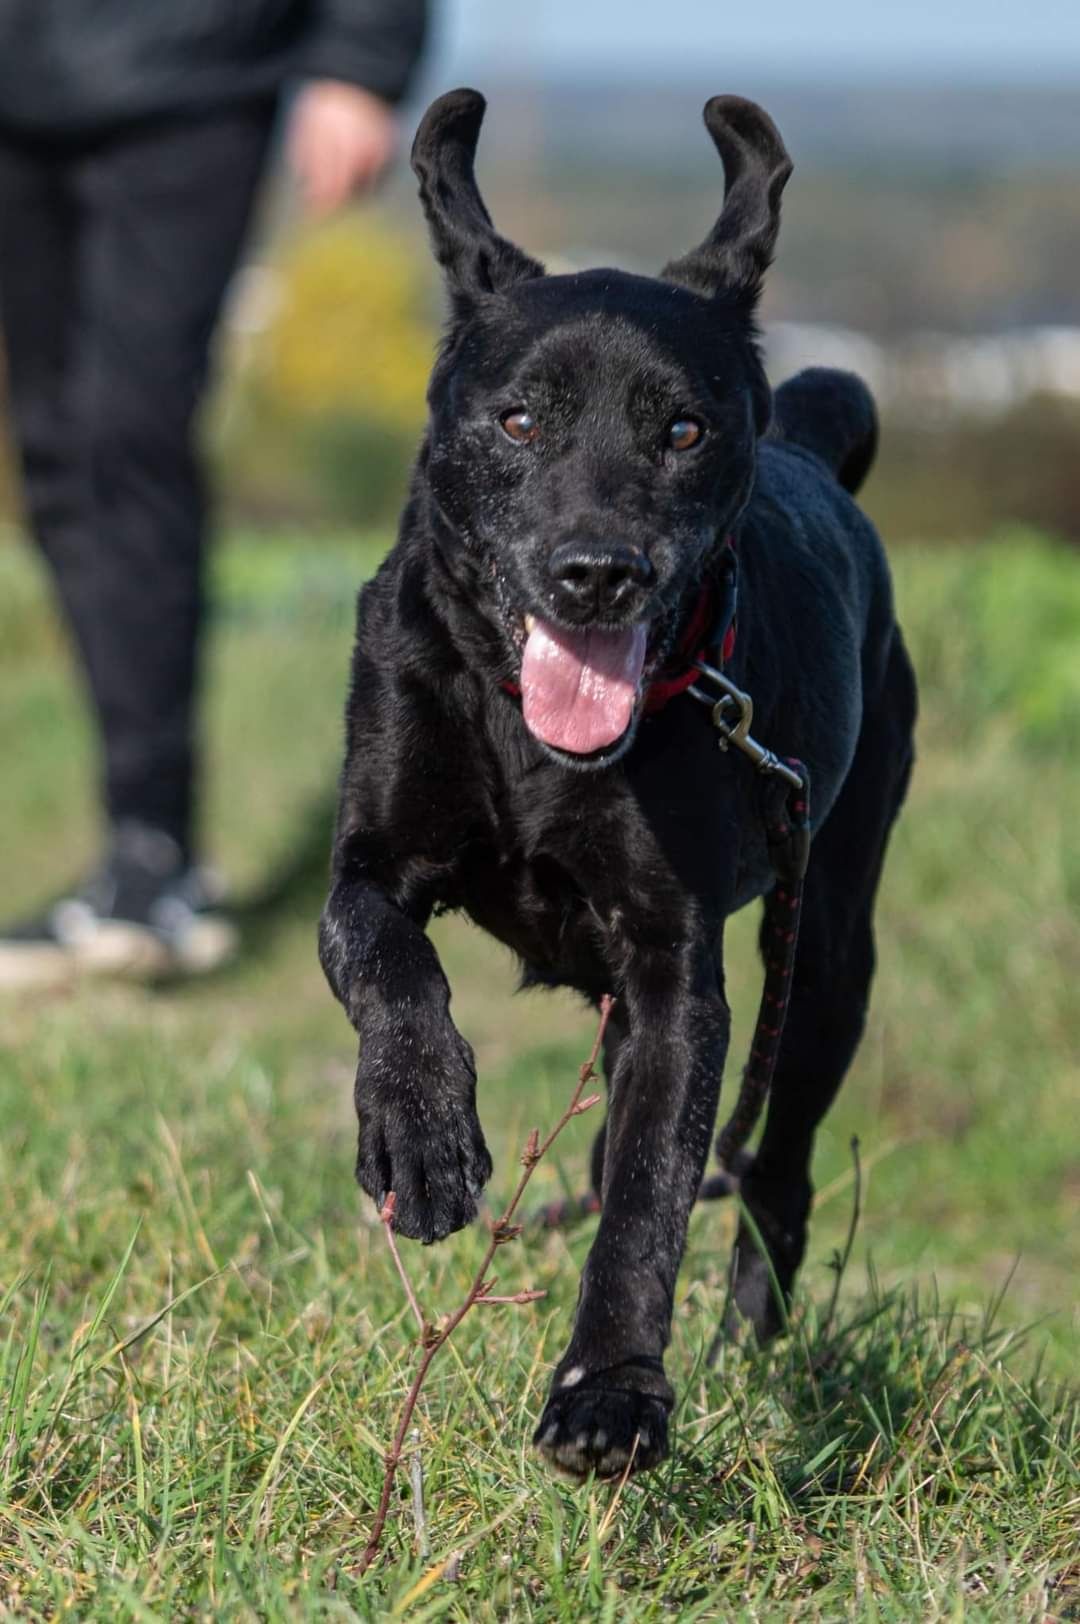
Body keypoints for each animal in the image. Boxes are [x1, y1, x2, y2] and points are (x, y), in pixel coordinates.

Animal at [319, 92, 915, 1487]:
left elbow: (651, 1187)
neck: (538, 745)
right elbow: (386, 959)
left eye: (683, 429)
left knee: (775, 1168)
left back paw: (752, 1335)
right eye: (520, 420)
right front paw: (420, 1134)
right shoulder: (369, 858)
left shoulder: (675, 965)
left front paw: (612, 1395)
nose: (598, 573)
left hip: (829, 948)